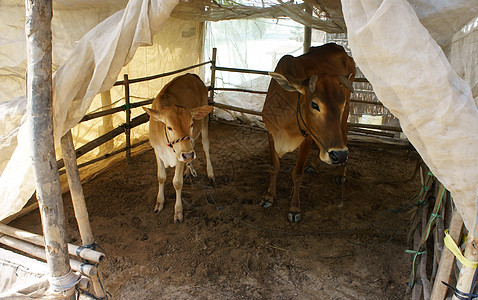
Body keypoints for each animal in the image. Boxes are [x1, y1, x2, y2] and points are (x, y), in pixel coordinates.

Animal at [144, 72, 215, 223]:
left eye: (191, 124)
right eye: (169, 127)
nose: (187, 155)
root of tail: (192, 74)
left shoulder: (180, 155)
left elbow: (177, 183)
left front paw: (178, 211)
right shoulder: (157, 151)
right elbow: (161, 177)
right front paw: (159, 203)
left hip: (204, 123)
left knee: (206, 147)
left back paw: (210, 174)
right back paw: (188, 170)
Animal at [262, 42, 354, 223]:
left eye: (341, 104)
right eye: (315, 104)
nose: (339, 155)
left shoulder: (307, 138)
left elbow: (297, 174)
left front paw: (294, 208)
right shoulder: (271, 134)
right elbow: (274, 166)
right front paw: (269, 196)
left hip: (344, 118)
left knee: (345, 135)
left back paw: (341, 172)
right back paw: (315, 164)